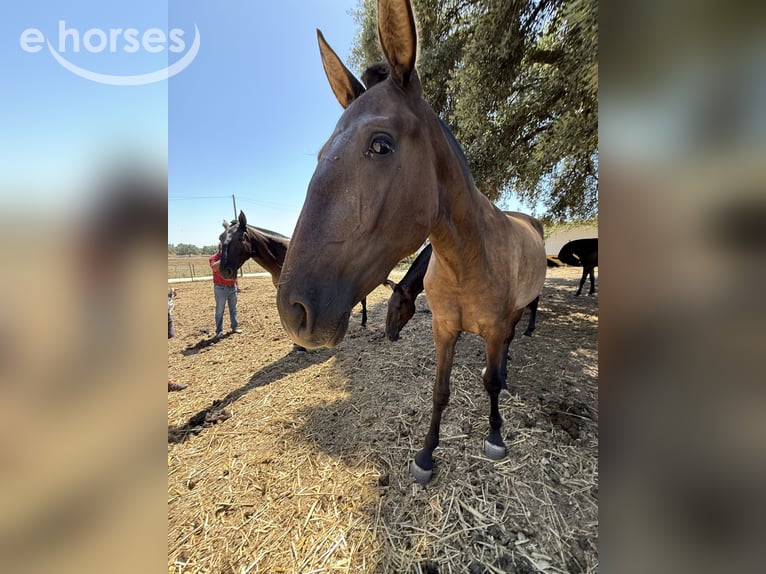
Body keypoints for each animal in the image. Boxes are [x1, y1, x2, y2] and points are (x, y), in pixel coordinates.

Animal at [275, 0, 547, 485]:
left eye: (381, 145)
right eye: (323, 151)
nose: (293, 311)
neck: (467, 261)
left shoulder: (493, 328)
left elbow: (490, 385)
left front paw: (495, 434)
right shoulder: (443, 330)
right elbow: (439, 392)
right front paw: (425, 454)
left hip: (515, 313)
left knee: (510, 347)